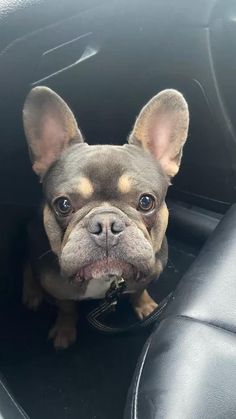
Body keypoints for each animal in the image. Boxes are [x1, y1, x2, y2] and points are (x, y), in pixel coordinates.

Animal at [21, 85, 188, 348]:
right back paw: (32, 291)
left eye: (146, 201)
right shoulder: (59, 287)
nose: (107, 224)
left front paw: (145, 306)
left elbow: (139, 290)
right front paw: (64, 330)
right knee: (29, 263)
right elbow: (66, 307)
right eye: (63, 204)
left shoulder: (148, 272)